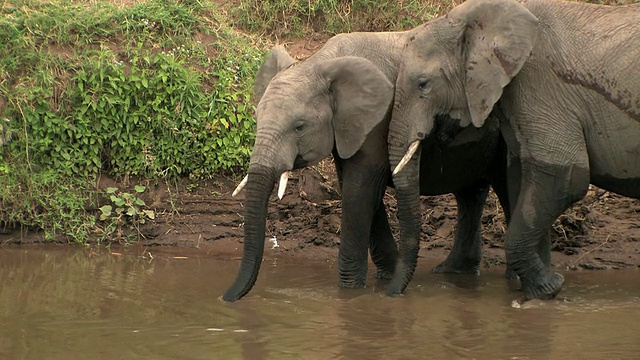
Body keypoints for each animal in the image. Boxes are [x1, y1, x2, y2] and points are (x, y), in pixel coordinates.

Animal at [225, 31, 510, 302]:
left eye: (299, 127)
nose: (226, 298)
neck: (322, 61)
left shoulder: (377, 120)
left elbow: (359, 190)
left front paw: (350, 292)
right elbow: (358, 190)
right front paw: (386, 277)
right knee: (470, 195)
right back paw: (454, 272)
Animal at [388, 0, 640, 300]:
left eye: (423, 84)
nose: (390, 294)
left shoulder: (540, 84)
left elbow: (564, 178)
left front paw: (548, 289)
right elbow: (522, 179)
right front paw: (539, 289)